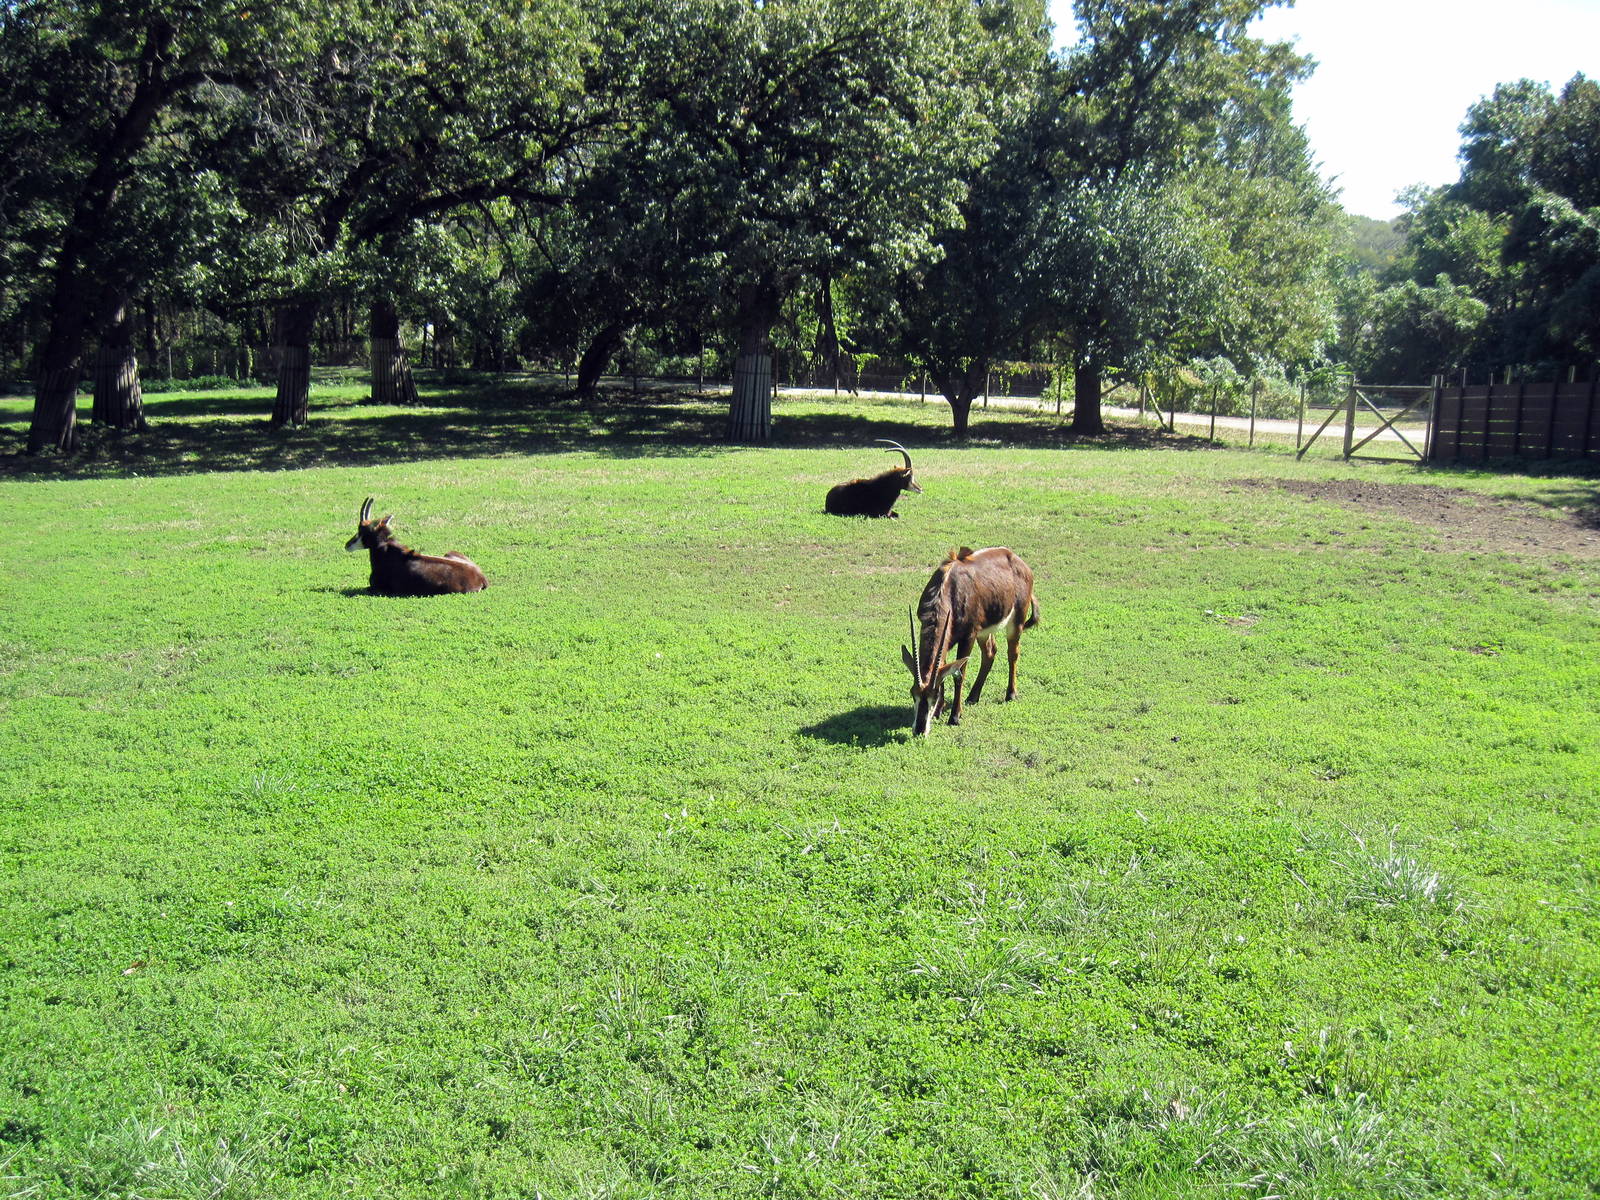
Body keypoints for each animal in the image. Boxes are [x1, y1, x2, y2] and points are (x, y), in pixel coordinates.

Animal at [902, 546, 1038, 736]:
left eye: (933, 697)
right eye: (912, 693)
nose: (920, 730)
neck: (949, 589)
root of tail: (1017, 559)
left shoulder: (968, 636)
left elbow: (959, 674)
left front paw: (954, 717)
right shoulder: (947, 640)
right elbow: (944, 672)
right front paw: (938, 712)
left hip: (1015, 622)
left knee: (1013, 654)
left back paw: (1010, 694)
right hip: (984, 632)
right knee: (990, 652)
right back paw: (973, 697)